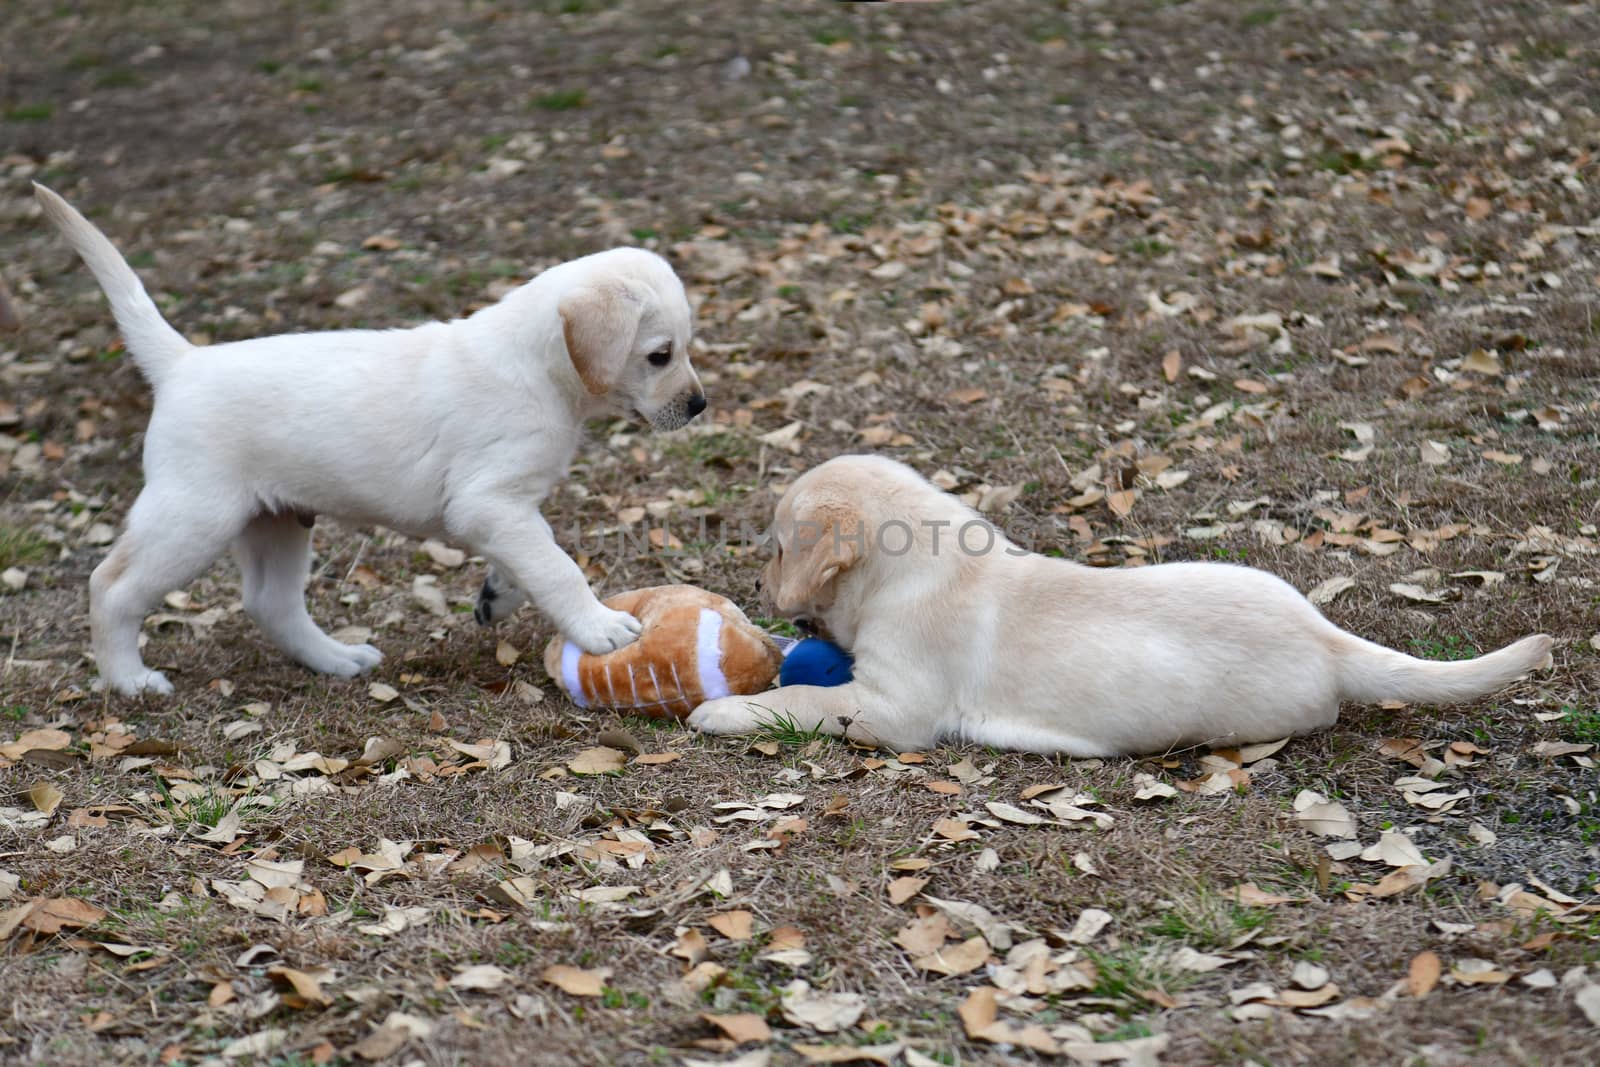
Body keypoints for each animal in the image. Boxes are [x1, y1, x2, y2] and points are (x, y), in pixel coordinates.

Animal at [31, 183, 704, 697]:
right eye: (659, 355)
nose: (699, 406)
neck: (538, 368)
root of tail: (181, 362)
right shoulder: (488, 502)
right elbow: (558, 566)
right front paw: (600, 627)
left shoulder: (508, 508)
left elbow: (536, 555)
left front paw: (497, 595)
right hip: (193, 519)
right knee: (111, 587)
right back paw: (130, 680)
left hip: (276, 520)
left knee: (271, 604)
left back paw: (337, 659)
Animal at [694, 454, 1555, 755]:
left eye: (777, 549)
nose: (758, 587)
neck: (917, 563)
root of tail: (1325, 635)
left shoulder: (893, 708)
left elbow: (804, 698)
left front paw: (723, 708)